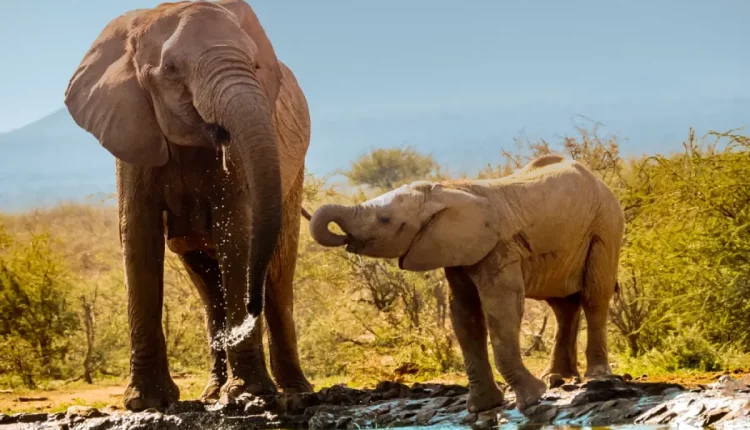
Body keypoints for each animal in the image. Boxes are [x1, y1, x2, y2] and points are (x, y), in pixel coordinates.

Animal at [63, 0, 312, 410]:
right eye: (170, 70)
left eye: (254, 65)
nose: (251, 307)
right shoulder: (131, 130)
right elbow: (138, 235)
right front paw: (146, 402)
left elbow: (236, 232)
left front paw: (250, 395)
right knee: (210, 290)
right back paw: (212, 392)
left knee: (278, 275)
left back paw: (295, 392)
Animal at [308, 155, 624, 414]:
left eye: (385, 220)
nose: (342, 238)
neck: (445, 191)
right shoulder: (457, 252)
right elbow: (464, 314)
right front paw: (484, 407)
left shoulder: (499, 247)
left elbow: (501, 309)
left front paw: (532, 398)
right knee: (563, 306)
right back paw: (558, 378)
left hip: (605, 225)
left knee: (594, 296)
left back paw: (596, 376)